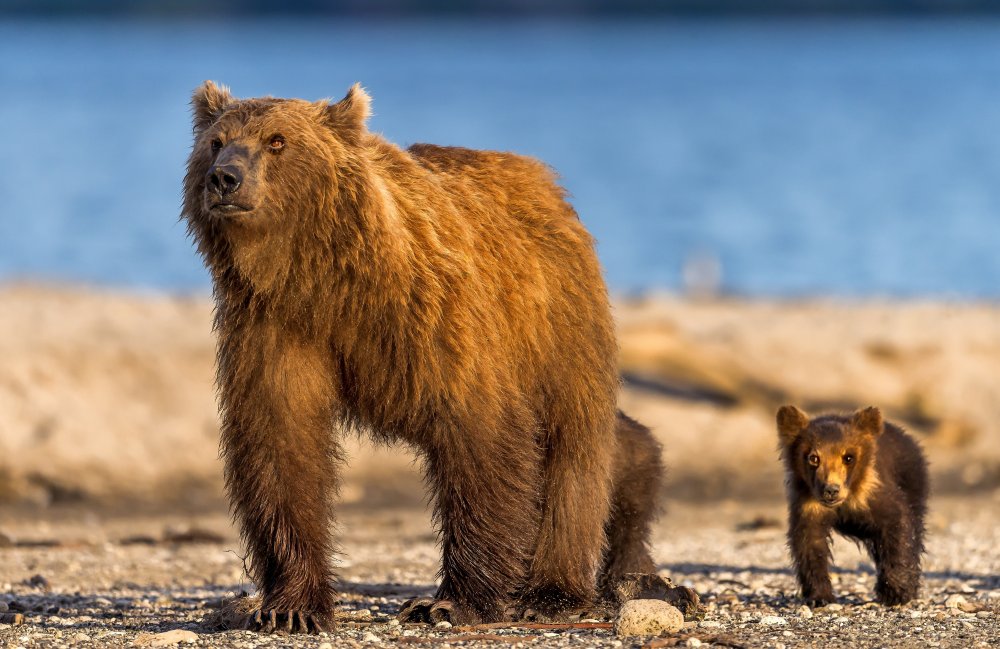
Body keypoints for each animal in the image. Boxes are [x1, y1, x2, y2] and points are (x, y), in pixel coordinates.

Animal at [184, 82, 668, 632]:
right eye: (216, 141)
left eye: (278, 141)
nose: (225, 177)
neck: (322, 279)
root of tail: (548, 186)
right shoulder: (275, 328)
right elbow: (280, 443)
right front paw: (292, 607)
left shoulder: (436, 319)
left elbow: (480, 436)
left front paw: (451, 600)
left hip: (558, 325)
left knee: (576, 450)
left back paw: (554, 591)